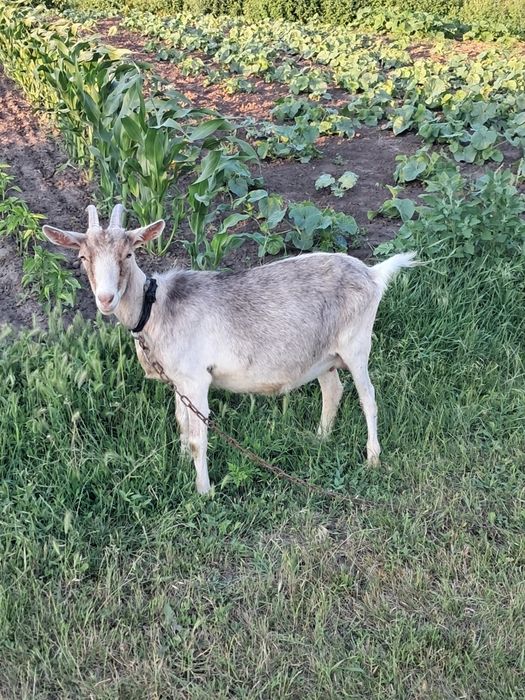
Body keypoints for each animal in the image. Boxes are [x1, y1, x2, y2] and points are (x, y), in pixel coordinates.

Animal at [43, 204, 415, 494]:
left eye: (129, 253)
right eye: (83, 257)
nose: (106, 299)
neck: (156, 307)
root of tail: (372, 274)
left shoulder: (197, 379)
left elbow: (199, 435)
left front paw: (203, 491)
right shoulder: (181, 382)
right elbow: (182, 423)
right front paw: (183, 464)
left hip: (356, 344)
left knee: (368, 397)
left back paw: (372, 457)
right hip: (322, 355)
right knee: (333, 389)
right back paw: (320, 439)